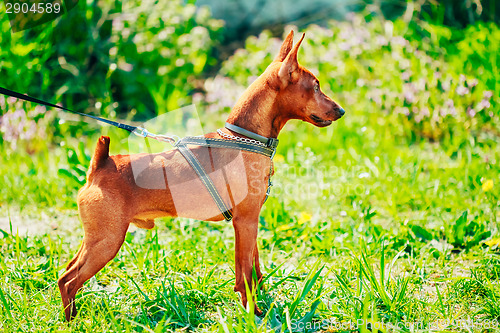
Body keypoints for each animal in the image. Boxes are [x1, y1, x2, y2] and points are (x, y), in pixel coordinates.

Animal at [55, 30, 344, 320]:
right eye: (315, 87)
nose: (341, 111)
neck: (244, 138)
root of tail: (101, 165)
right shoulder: (245, 222)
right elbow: (244, 274)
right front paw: (253, 313)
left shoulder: (251, 221)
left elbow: (255, 269)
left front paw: (262, 301)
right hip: (108, 240)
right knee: (68, 280)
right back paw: (72, 322)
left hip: (96, 239)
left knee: (66, 274)